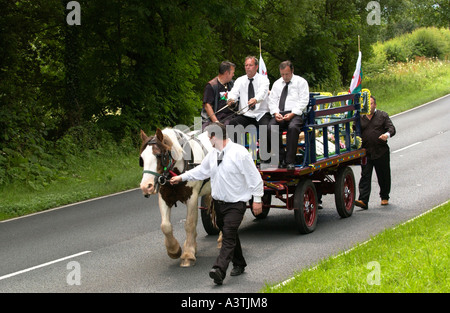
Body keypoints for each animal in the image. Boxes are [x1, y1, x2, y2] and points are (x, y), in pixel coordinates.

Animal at [138, 127, 214, 266]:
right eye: (142, 159)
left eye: (159, 155)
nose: (146, 186)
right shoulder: (164, 198)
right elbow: (165, 226)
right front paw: (174, 250)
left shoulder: (192, 197)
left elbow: (189, 224)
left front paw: (188, 254)